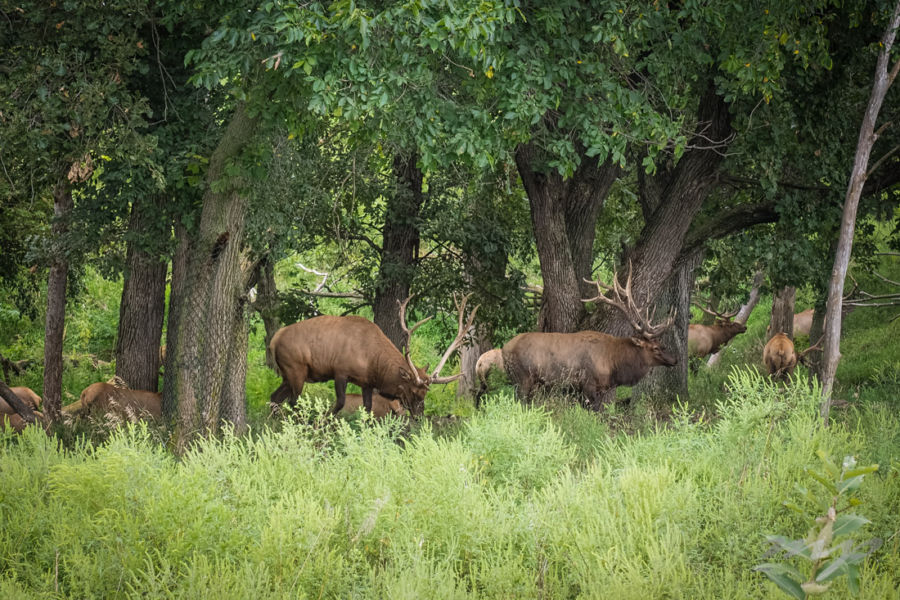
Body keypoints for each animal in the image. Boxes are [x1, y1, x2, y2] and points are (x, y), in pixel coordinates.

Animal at [268, 292, 478, 414]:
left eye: (426, 393)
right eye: (413, 390)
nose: (419, 416)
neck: (373, 363)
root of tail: (274, 339)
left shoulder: (366, 382)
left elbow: (367, 409)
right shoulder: (340, 371)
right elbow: (340, 403)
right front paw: (325, 423)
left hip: (288, 375)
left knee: (274, 398)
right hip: (296, 370)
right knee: (293, 401)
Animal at [500, 268, 676, 408]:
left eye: (661, 343)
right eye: (655, 347)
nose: (675, 359)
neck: (614, 364)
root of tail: (503, 349)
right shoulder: (588, 384)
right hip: (521, 378)